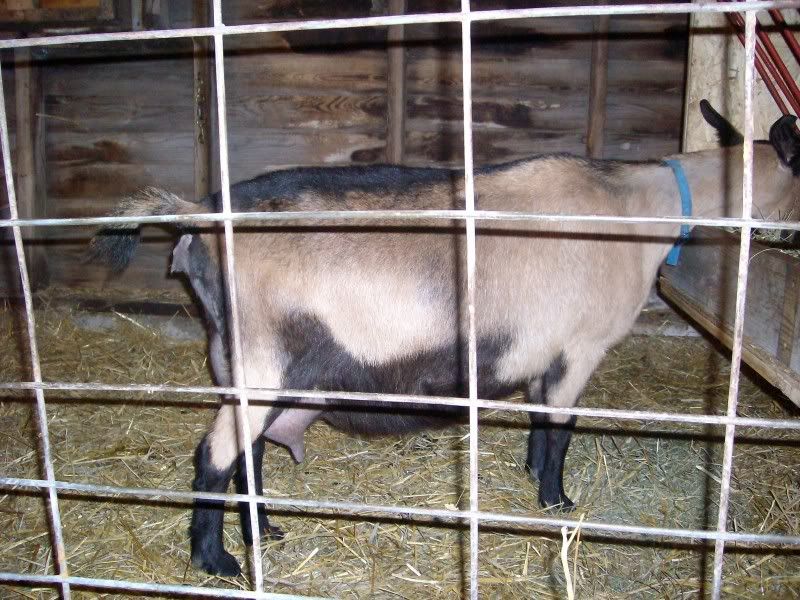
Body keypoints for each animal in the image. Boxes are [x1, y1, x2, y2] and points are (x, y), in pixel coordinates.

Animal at [88, 102, 800, 577]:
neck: (634, 206)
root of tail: (196, 218)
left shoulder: (544, 352)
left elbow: (540, 420)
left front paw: (532, 474)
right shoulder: (580, 347)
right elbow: (562, 428)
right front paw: (557, 501)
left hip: (243, 360)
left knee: (251, 452)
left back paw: (265, 531)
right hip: (263, 357)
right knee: (215, 454)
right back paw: (218, 561)